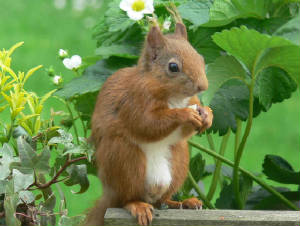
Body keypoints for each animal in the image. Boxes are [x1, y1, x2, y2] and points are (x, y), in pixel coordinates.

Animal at [85, 14, 213, 226]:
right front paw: (185, 114)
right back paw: (137, 206)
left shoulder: (191, 100)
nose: (203, 86)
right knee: (126, 199)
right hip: (124, 159)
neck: (175, 98)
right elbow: (147, 124)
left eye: (201, 58)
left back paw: (184, 202)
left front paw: (208, 114)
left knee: (163, 200)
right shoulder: (134, 102)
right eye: (173, 67)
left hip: (179, 160)